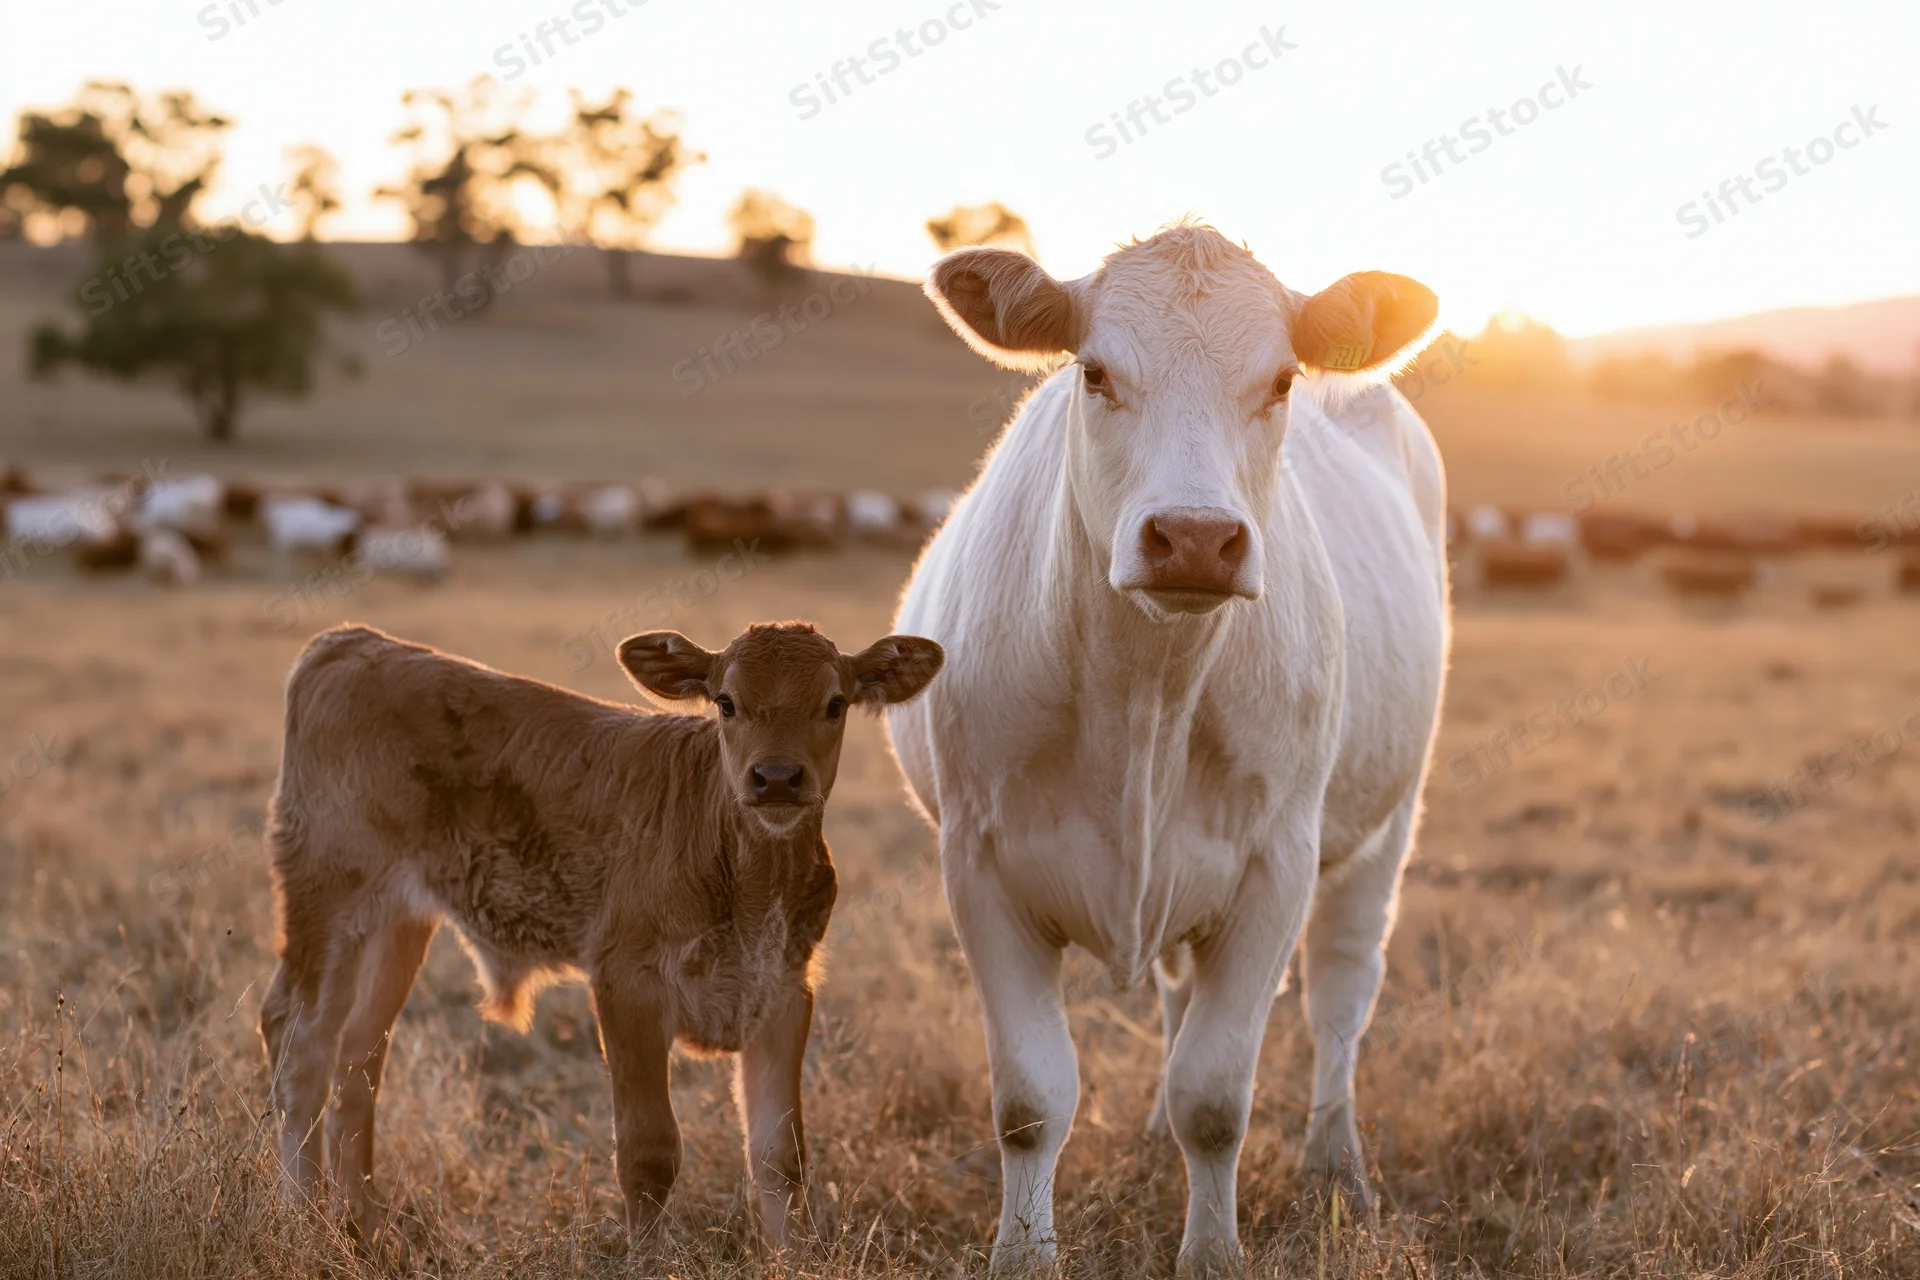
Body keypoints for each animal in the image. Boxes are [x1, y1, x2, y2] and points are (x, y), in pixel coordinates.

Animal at [260, 621, 944, 1255]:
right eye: (726, 702)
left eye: (834, 703)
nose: (776, 777)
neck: (747, 880)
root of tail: (353, 641)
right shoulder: (626, 982)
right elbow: (649, 1151)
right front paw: (648, 1259)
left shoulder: (783, 988)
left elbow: (781, 1155)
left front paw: (791, 1259)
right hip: (329, 891)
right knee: (300, 1041)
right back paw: (305, 1224)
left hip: (398, 920)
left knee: (357, 1056)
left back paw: (364, 1226)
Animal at [887, 225, 1450, 1273]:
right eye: (1095, 371)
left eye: (1281, 379)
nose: (1194, 537)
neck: (1143, 695)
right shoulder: (978, 861)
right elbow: (1030, 1100)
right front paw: (1023, 1253)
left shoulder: (1278, 862)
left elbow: (1216, 1097)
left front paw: (1213, 1253)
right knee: (1180, 997)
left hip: (1384, 823)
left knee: (1340, 998)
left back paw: (1337, 1166)